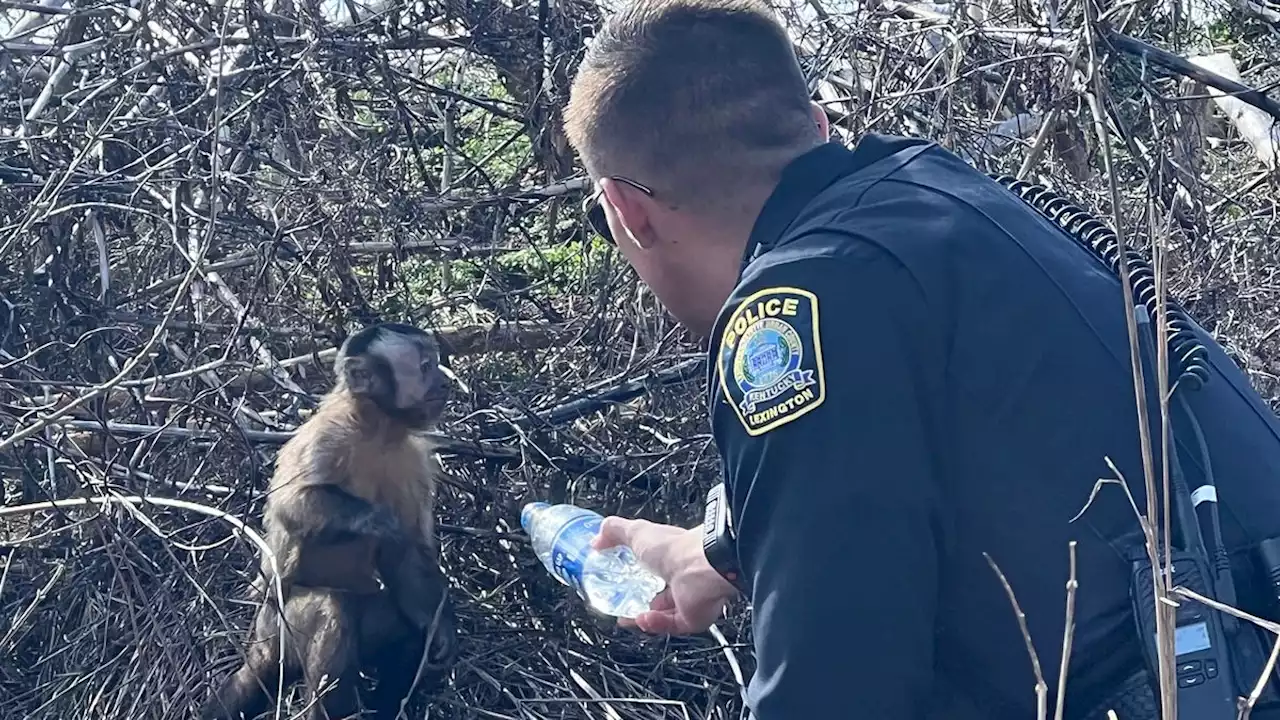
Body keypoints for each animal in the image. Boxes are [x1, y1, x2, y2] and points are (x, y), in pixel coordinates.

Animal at [199, 322, 460, 717]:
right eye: (426, 366)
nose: (445, 381)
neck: (377, 430)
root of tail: (260, 643)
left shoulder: (413, 460)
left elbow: (409, 556)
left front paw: (439, 628)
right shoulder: (328, 435)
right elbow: (291, 505)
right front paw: (376, 519)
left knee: (402, 630)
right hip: (279, 629)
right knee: (331, 611)